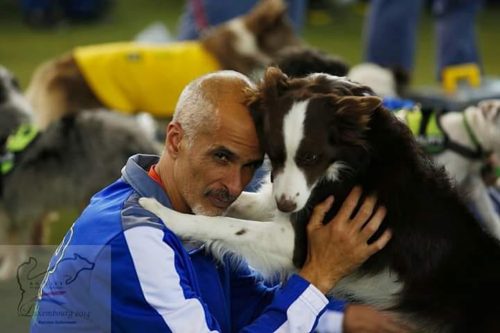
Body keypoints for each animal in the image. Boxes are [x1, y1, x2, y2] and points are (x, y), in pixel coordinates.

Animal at [139, 68, 500, 332]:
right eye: (274, 154)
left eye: (311, 157)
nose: (286, 205)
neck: (351, 157)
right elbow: (234, 206)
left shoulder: (297, 241)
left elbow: (225, 223)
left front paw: (165, 214)